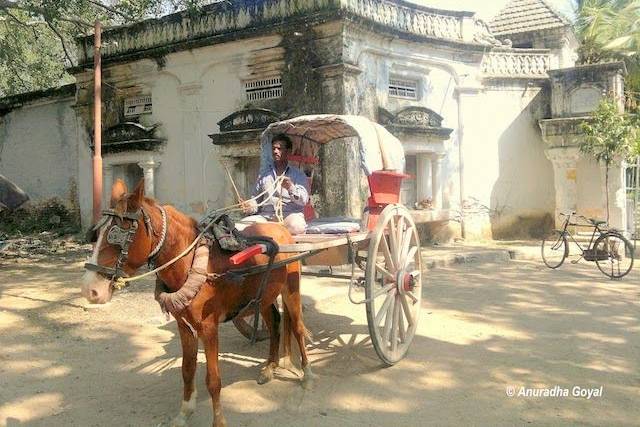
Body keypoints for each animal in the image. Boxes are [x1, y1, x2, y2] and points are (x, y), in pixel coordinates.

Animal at [80, 180, 316, 427]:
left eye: (119, 233)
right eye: (96, 234)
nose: (90, 289)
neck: (191, 263)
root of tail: (281, 228)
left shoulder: (209, 327)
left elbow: (213, 379)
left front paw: (219, 421)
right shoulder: (184, 326)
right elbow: (187, 370)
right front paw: (184, 412)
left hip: (291, 289)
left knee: (297, 327)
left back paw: (307, 375)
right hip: (262, 297)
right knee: (275, 323)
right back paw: (270, 367)